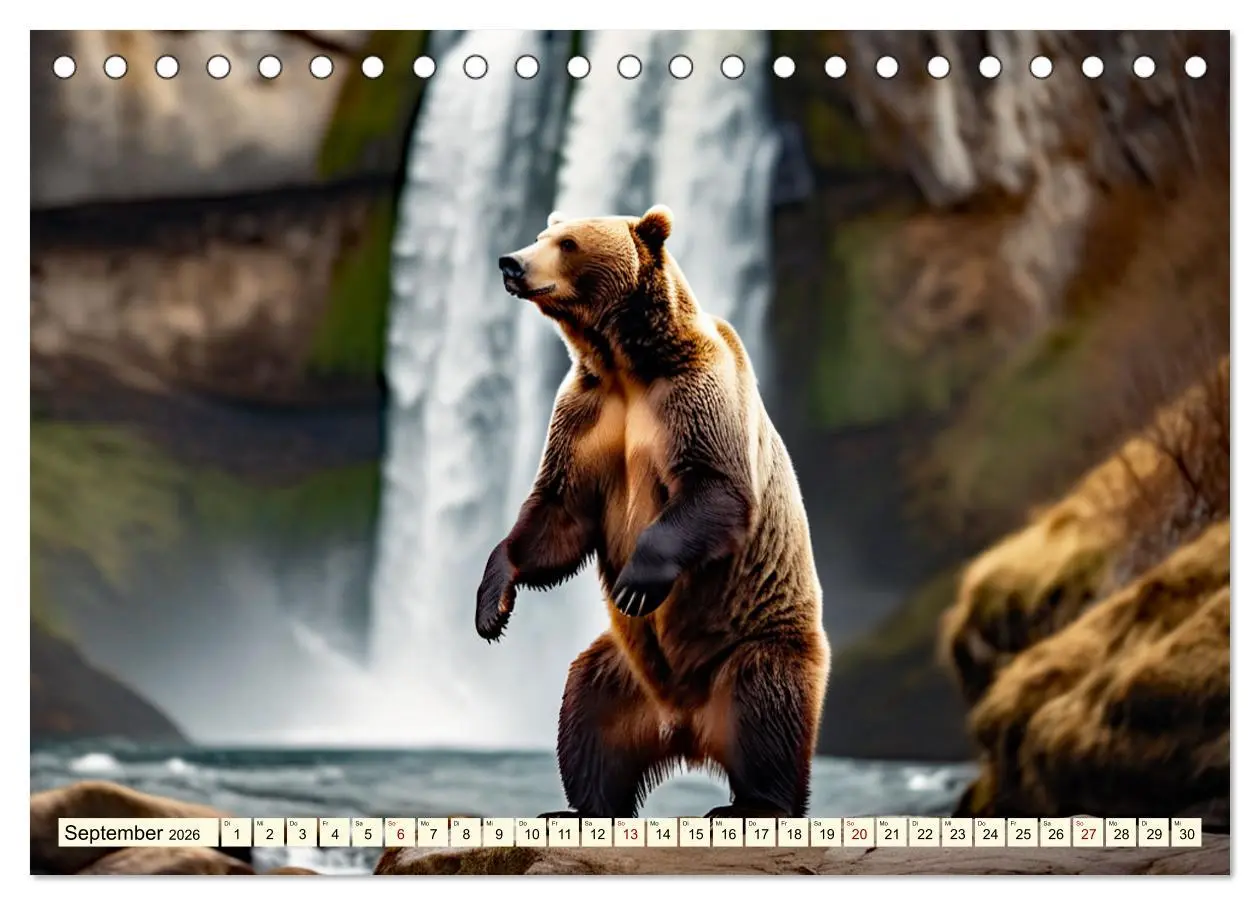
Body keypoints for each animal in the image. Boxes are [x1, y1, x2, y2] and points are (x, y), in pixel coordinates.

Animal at [476, 204, 831, 819]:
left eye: (567, 243)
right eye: (543, 234)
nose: (511, 262)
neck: (627, 363)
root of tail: (685, 728)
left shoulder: (694, 396)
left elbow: (716, 488)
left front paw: (637, 584)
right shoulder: (588, 414)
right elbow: (558, 514)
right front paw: (493, 604)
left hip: (755, 645)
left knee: (766, 712)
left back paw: (752, 804)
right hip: (623, 672)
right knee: (586, 716)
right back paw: (580, 807)